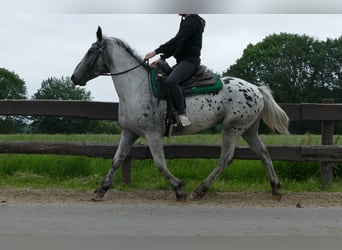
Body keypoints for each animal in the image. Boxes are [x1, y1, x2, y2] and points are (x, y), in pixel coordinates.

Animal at [71, 26, 288, 200]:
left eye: (91, 51)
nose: (74, 77)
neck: (137, 87)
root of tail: (256, 89)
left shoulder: (152, 134)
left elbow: (160, 164)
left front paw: (179, 189)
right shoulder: (129, 133)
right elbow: (117, 160)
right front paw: (101, 189)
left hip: (233, 128)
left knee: (226, 158)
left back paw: (200, 190)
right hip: (249, 130)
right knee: (264, 154)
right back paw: (276, 189)